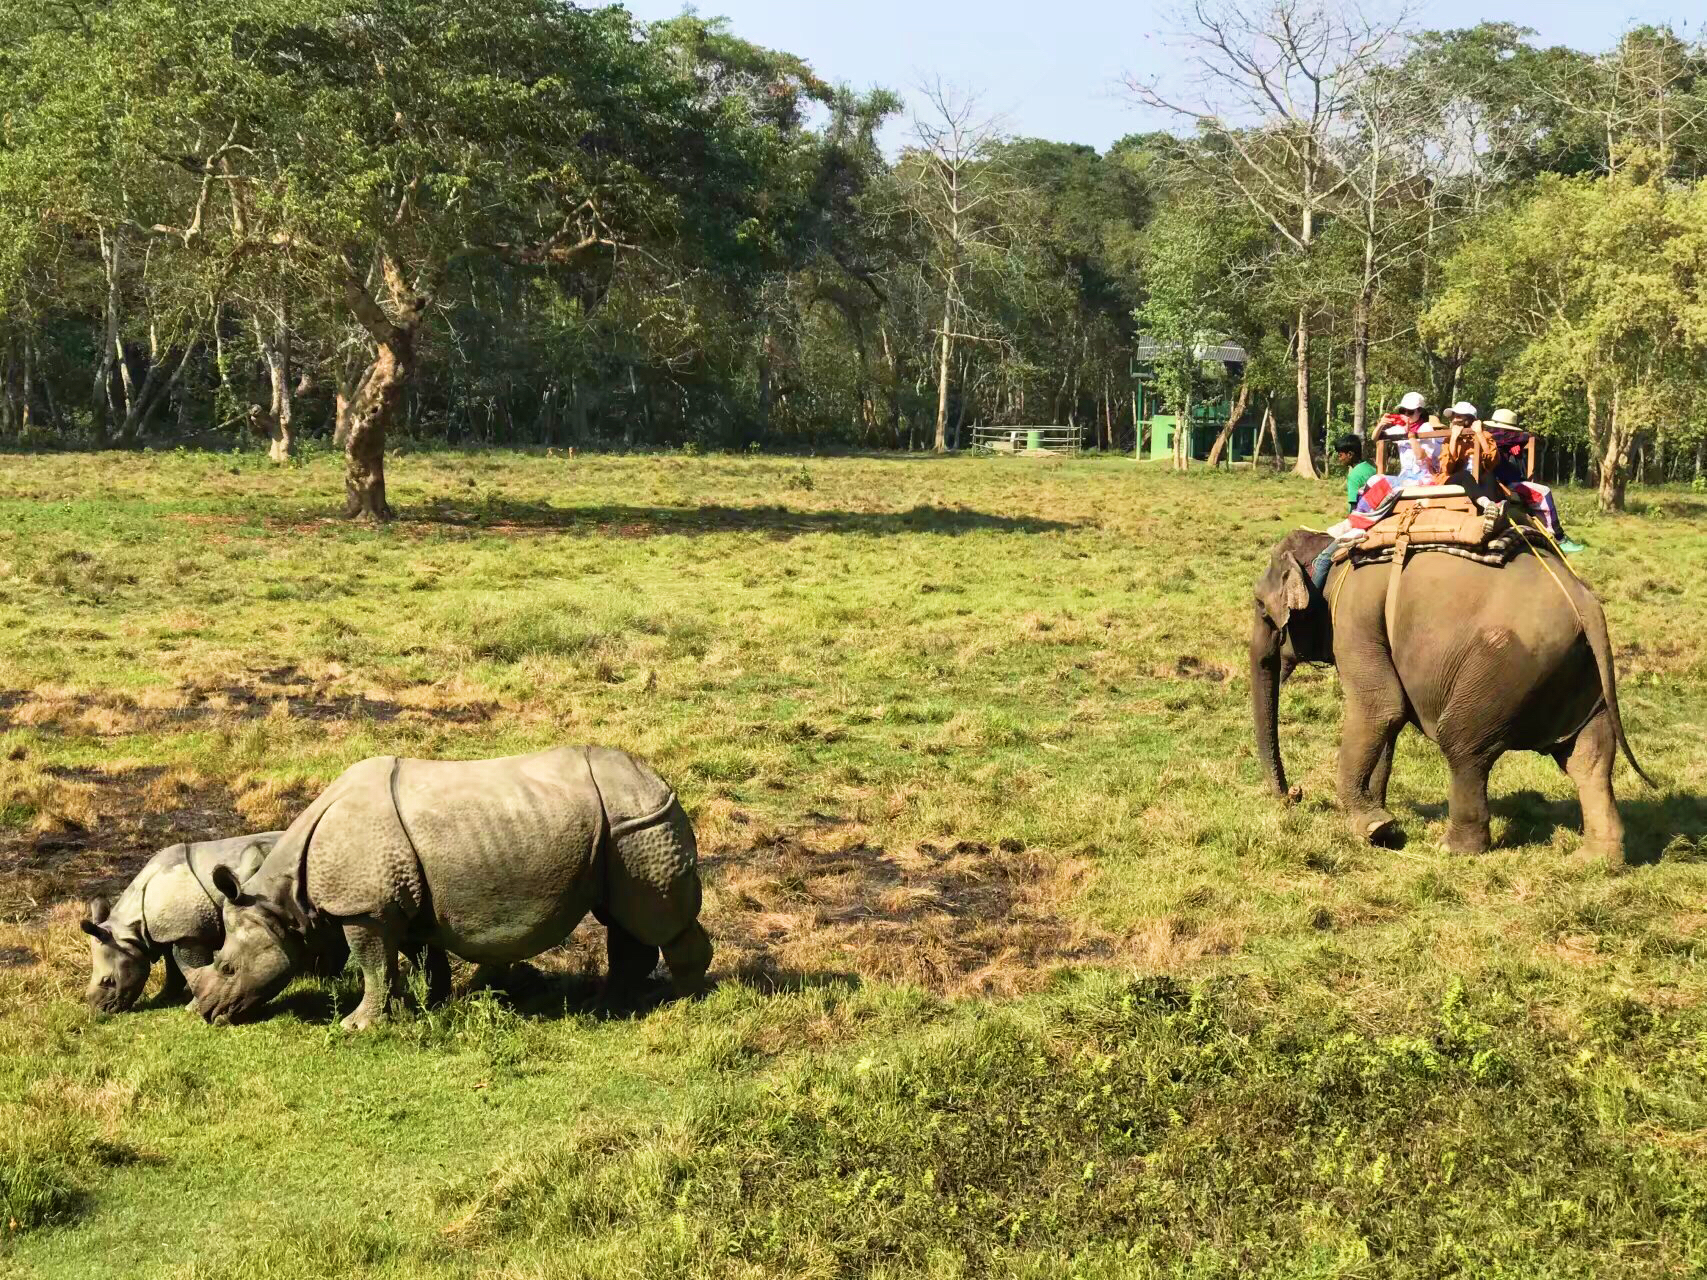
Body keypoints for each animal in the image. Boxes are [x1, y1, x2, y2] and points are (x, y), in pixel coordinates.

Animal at [188, 740, 713, 1030]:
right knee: (622, 919)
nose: (206, 1013)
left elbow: (373, 966)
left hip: (641, 826)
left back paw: (685, 1002)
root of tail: (658, 780)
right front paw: (432, 1003)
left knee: (655, 921)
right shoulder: (401, 903)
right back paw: (604, 1004)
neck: (283, 901)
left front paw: (357, 1026)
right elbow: (420, 957)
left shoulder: (364, 908)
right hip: (619, 830)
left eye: (228, 967)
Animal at [1256, 525, 1652, 866]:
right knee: (1589, 757)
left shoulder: (1354, 617)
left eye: (1260, 607)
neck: (1332, 553)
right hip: (1576, 673)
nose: (1295, 795)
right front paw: (1384, 823)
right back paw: (1596, 860)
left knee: (1463, 746)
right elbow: (1390, 718)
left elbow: (1380, 707)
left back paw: (1453, 849)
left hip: (1504, 666)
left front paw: (1372, 829)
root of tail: (1585, 602)